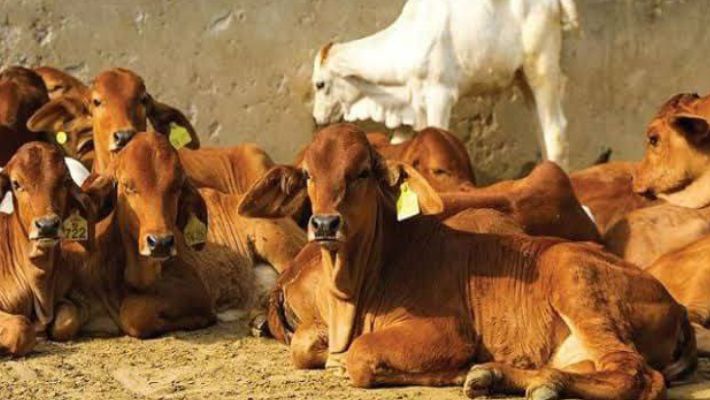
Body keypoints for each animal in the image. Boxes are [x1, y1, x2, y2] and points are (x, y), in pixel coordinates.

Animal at [239, 124, 694, 399]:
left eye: (363, 172)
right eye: (308, 175)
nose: (324, 224)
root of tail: (674, 304)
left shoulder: (450, 331)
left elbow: (359, 357)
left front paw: (455, 370)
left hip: (576, 282)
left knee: (635, 373)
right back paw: (499, 376)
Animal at [312, 0, 579, 169]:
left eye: (320, 84)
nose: (317, 118)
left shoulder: (440, 96)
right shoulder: (409, 107)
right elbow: (398, 148)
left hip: (542, 68)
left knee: (556, 131)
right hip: (523, 78)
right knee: (541, 128)